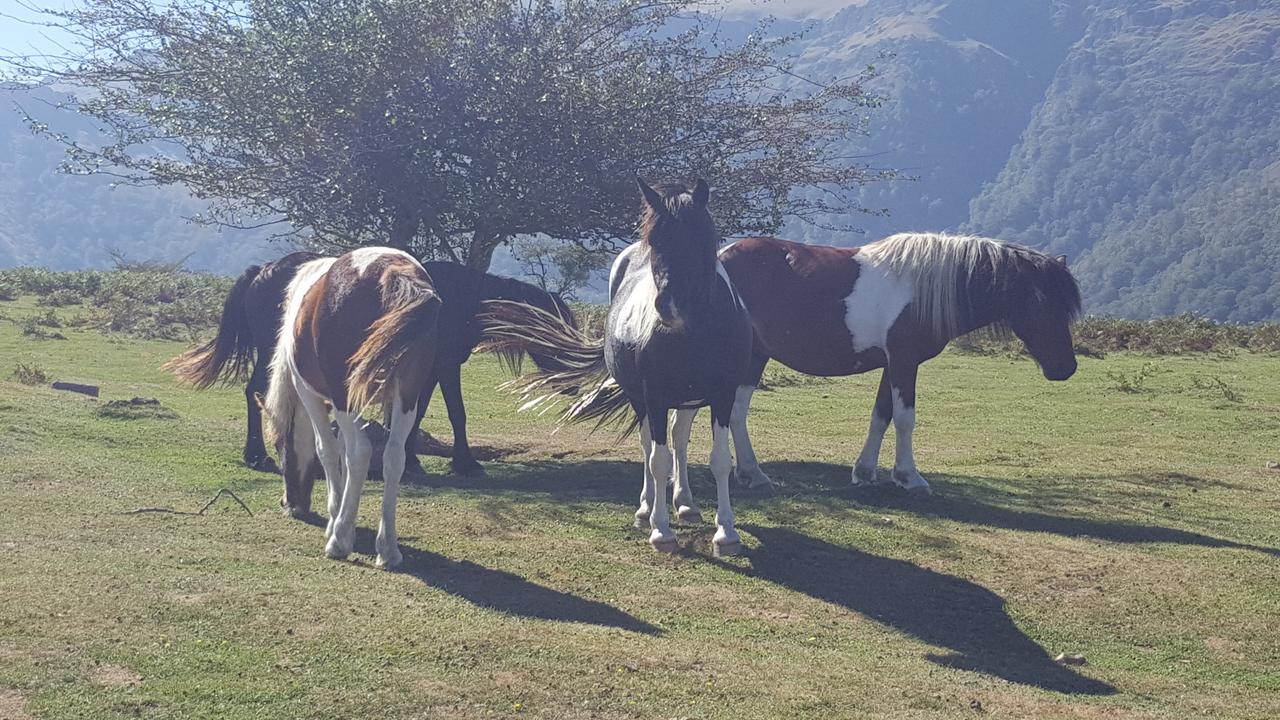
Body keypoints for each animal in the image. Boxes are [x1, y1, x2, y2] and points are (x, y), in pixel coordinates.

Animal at [167, 251, 578, 481]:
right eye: (557, 329)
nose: (573, 385)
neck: (457, 300)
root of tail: (262, 270)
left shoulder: (431, 370)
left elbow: (420, 413)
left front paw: (414, 460)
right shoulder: (444, 368)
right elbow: (456, 414)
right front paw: (463, 463)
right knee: (256, 392)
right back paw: (259, 455)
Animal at [257, 245, 442, 566]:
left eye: (280, 447)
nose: (290, 504)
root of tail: (392, 271)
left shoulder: (311, 395)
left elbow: (329, 451)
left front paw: (336, 522)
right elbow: (344, 452)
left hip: (346, 397)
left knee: (361, 452)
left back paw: (339, 541)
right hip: (407, 397)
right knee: (394, 456)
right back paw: (388, 548)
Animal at [481, 178, 747, 556]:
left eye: (699, 237)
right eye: (656, 241)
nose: (668, 306)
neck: (696, 331)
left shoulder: (723, 394)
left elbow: (720, 460)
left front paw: (726, 532)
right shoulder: (655, 396)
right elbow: (657, 459)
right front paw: (661, 531)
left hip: (687, 400)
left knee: (678, 438)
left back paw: (685, 504)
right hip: (642, 399)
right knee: (650, 446)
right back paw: (647, 510)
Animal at [721, 233, 1080, 497]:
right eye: (1041, 303)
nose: (1066, 368)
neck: (923, 290)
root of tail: (721, 256)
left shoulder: (891, 365)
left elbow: (881, 416)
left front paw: (865, 472)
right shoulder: (905, 362)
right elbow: (905, 419)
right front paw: (909, 477)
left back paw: (748, 473)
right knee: (736, 413)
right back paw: (753, 473)